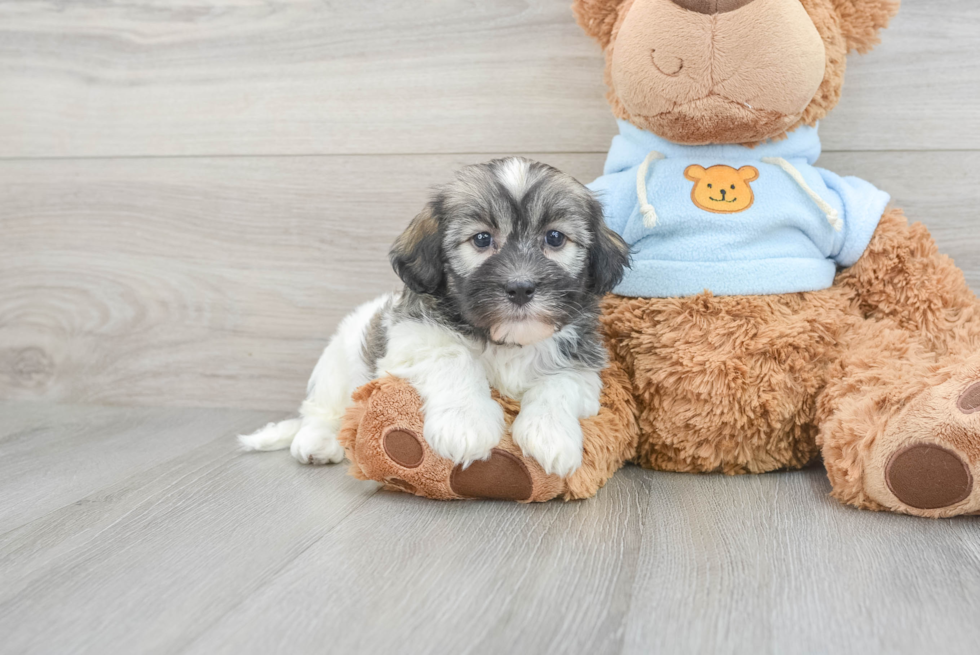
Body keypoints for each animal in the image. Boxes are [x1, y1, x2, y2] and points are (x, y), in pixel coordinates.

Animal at [241, 159, 632, 476]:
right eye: (481, 239)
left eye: (554, 238)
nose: (521, 287)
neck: (504, 341)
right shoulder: (412, 338)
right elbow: (454, 356)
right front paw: (466, 422)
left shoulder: (583, 365)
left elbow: (558, 383)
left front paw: (550, 433)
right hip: (338, 362)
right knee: (321, 409)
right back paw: (318, 441)